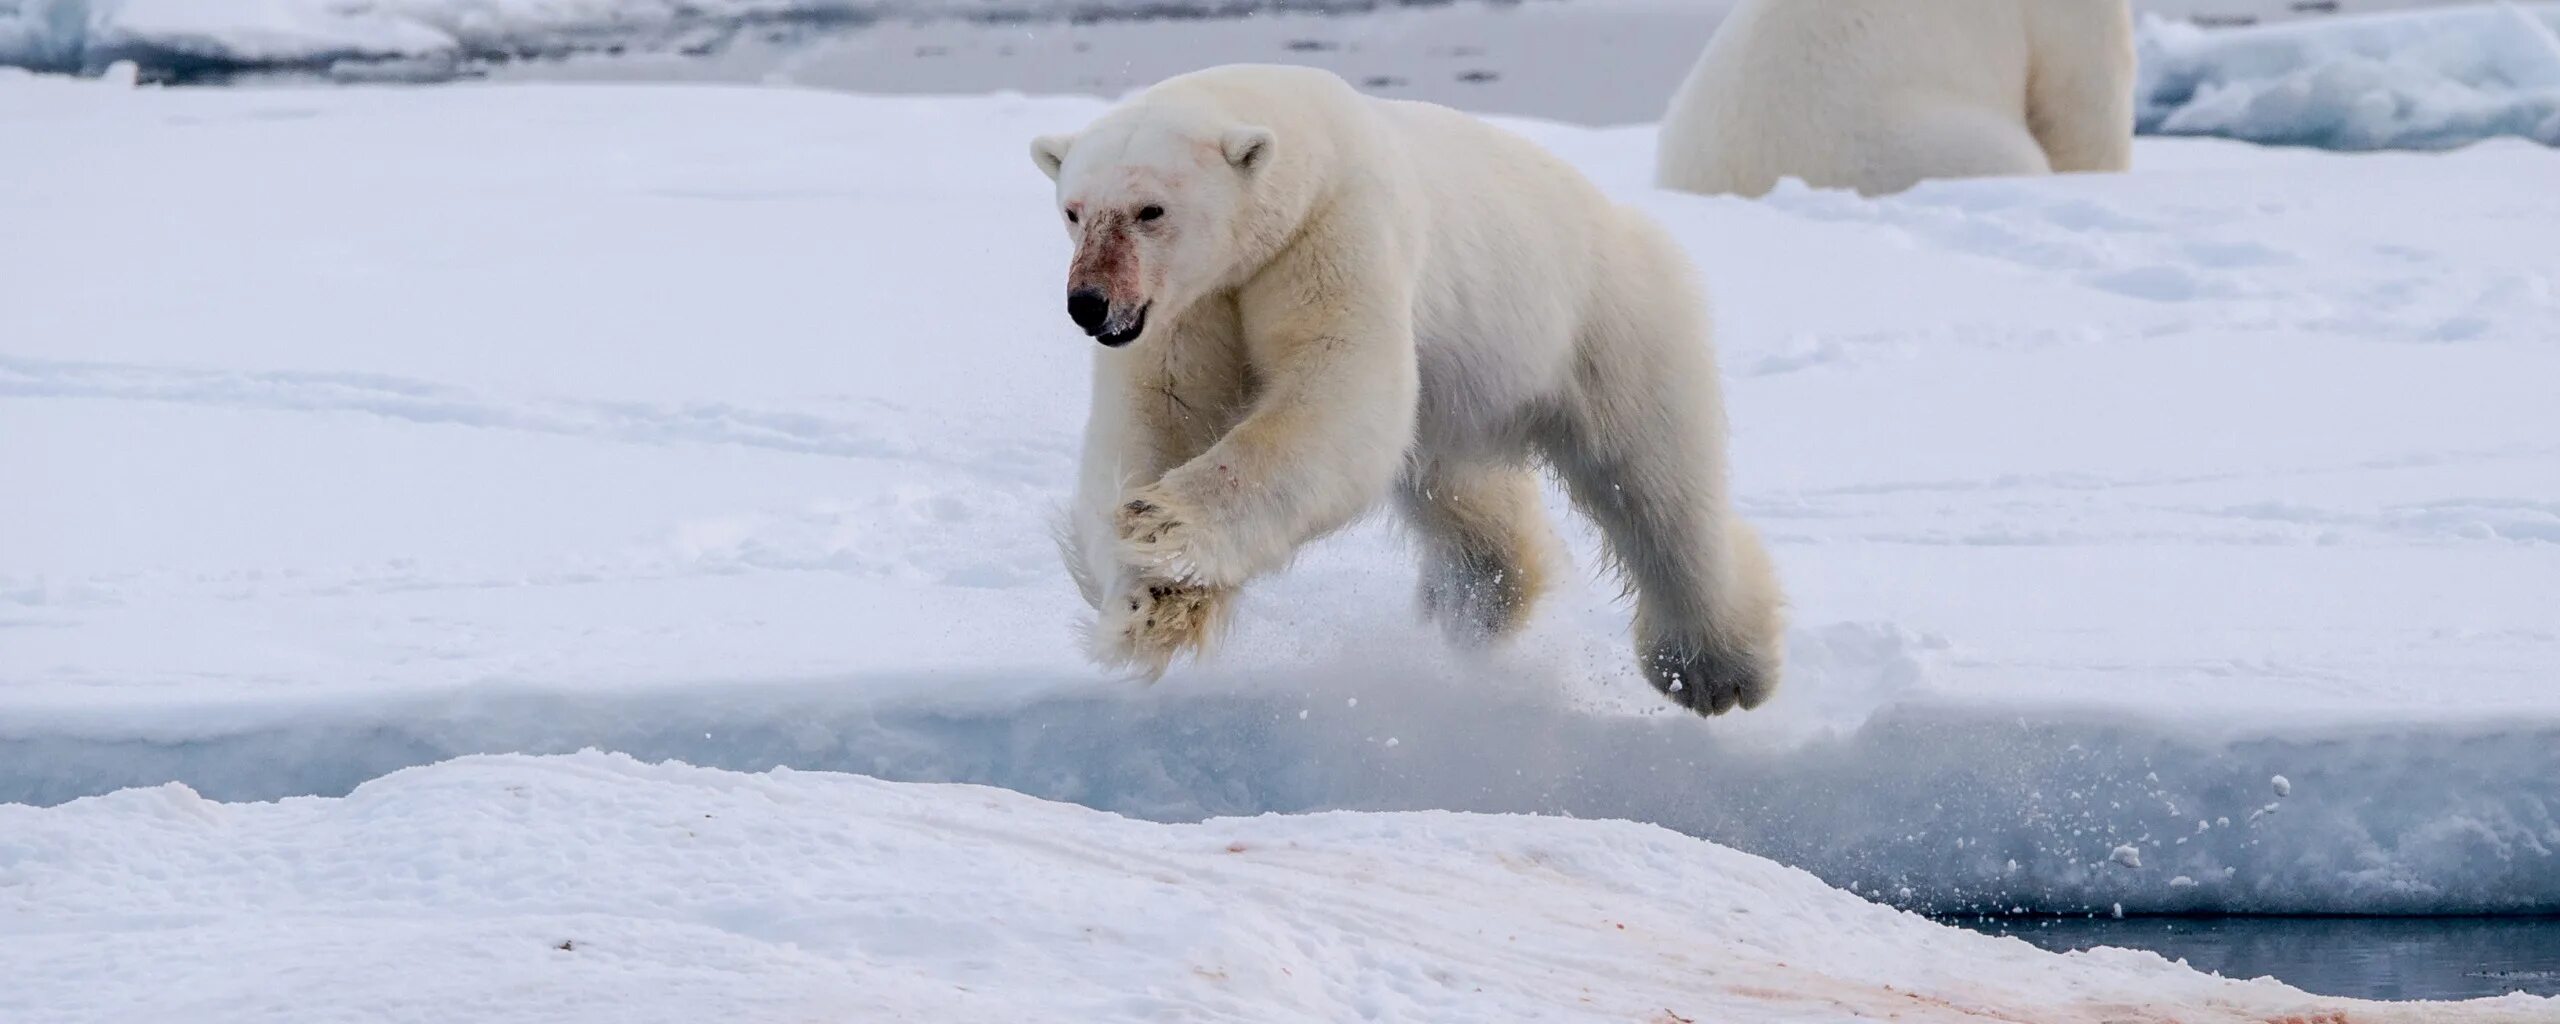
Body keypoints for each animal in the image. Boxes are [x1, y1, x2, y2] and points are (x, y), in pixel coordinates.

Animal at [1018, 65, 1781, 721]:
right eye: (1073, 211)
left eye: (1151, 209)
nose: (1089, 304)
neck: (1305, 156)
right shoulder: (1187, 308)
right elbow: (1157, 418)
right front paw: (1146, 605)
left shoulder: (1335, 236)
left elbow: (1342, 396)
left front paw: (1161, 525)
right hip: (1463, 395)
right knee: (1462, 496)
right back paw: (1485, 601)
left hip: (1607, 323)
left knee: (1653, 485)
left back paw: (1714, 671)